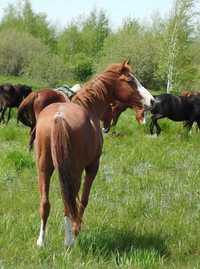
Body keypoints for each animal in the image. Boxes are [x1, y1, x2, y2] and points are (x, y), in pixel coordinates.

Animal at [34, 61, 155, 246]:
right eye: (130, 81)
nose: (152, 100)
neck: (88, 108)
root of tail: (59, 116)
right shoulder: (92, 167)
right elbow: (84, 199)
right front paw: (77, 230)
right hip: (74, 171)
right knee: (68, 203)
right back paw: (70, 240)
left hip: (44, 168)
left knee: (45, 203)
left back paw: (41, 242)